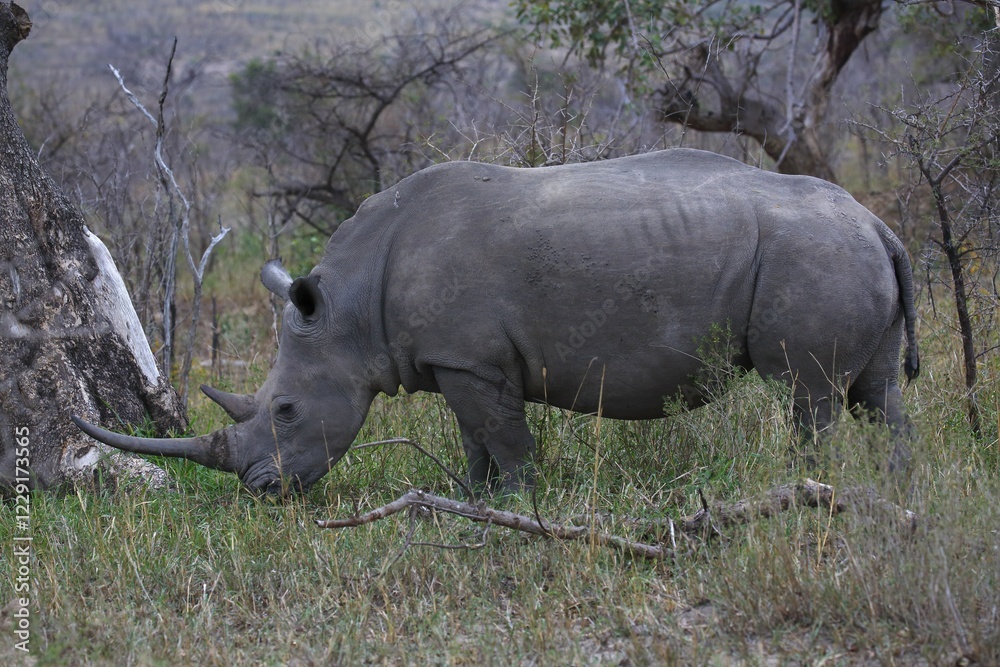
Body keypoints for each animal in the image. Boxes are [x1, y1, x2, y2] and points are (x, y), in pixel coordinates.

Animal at [73, 149, 919, 495]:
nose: (260, 490)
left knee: (810, 391)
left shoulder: (470, 359)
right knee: (877, 392)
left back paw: (803, 481)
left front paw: (517, 502)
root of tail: (881, 224)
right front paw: (472, 494)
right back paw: (891, 481)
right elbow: (473, 434)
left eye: (283, 408)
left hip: (816, 254)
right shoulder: (452, 359)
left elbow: (503, 435)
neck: (348, 310)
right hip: (843, 249)